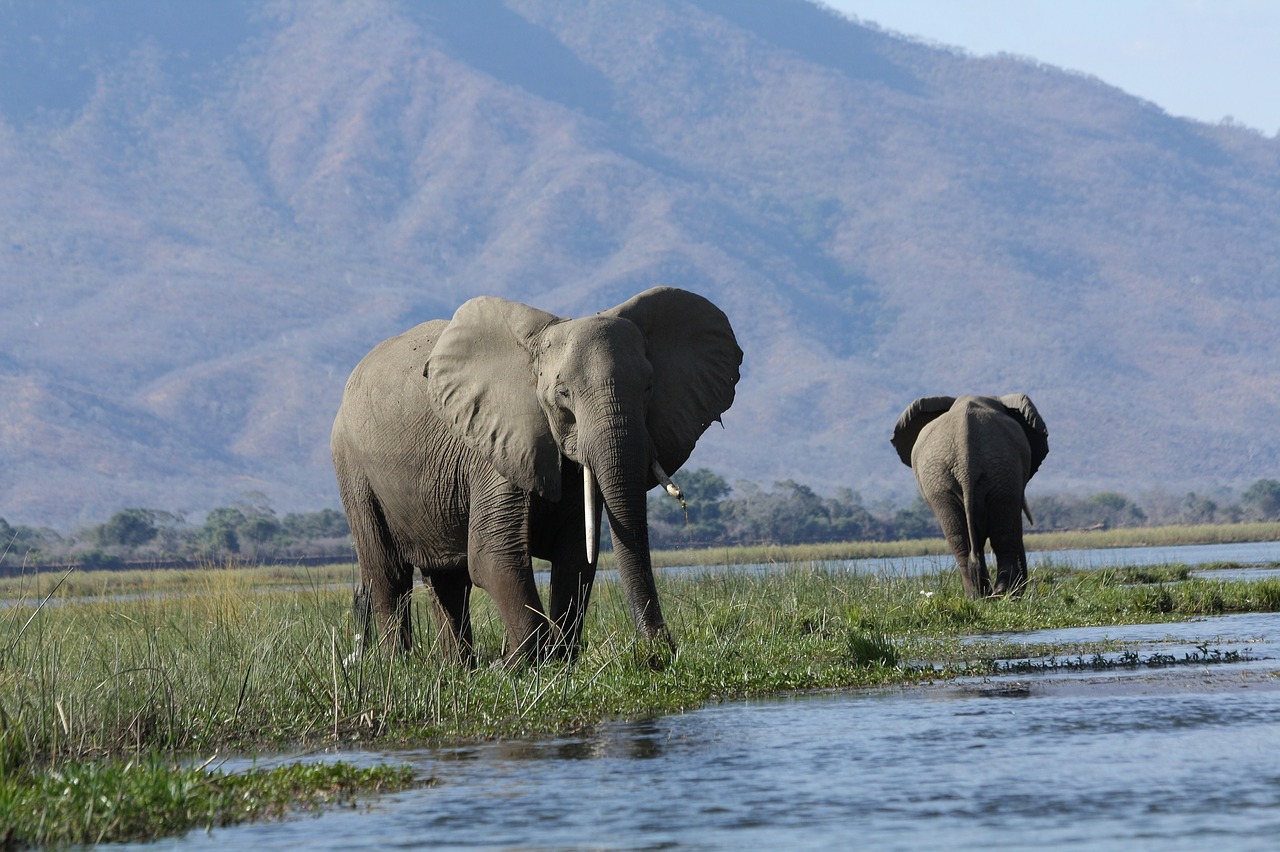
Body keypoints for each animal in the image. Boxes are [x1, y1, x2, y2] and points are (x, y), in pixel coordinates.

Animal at [332, 289, 742, 660]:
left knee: (448, 580)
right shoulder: (495, 446)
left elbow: (576, 557)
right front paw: (526, 665)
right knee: (388, 575)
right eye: (563, 395)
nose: (661, 652)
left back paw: (458, 670)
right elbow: (493, 556)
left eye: (648, 387)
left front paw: (559, 660)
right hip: (352, 468)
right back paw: (398, 666)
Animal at [890, 394, 1049, 596]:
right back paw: (999, 594)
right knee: (1000, 533)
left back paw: (981, 595)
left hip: (956, 477)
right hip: (997, 470)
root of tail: (966, 461)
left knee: (963, 538)